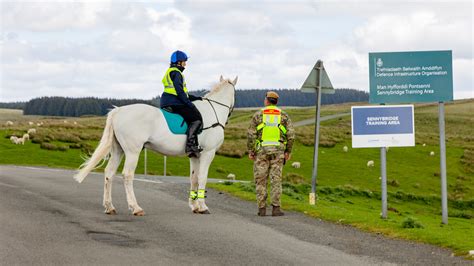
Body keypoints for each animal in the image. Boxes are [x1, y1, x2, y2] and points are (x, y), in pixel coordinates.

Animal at [73, 75, 237, 216]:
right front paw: (203, 207)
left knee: (109, 173)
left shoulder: (194, 155)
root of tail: (118, 111)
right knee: (127, 175)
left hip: (118, 150)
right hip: (132, 151)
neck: (212, 111)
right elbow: (202, 177)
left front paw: (195, 206)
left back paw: (109, 207)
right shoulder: (208, 153)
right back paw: (135, 207)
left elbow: (194, 178)